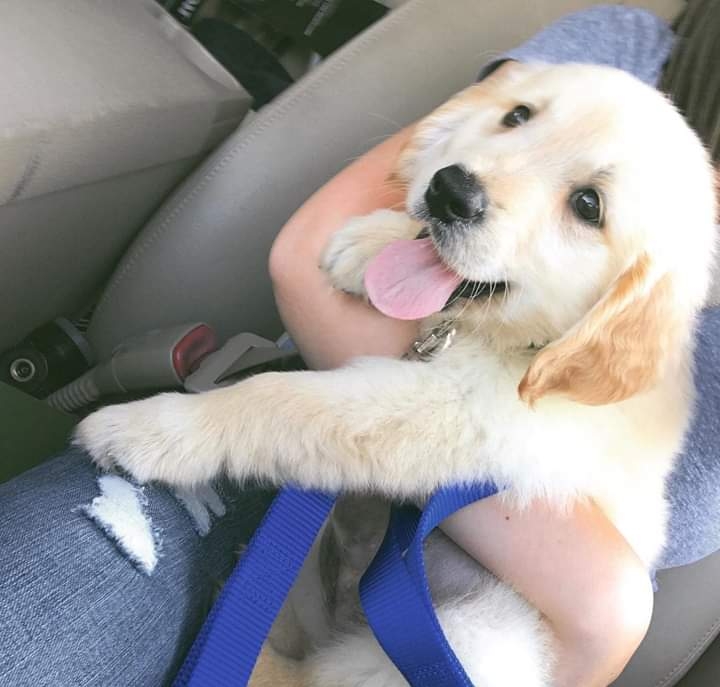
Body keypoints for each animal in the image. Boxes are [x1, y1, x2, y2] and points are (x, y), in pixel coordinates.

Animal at [76, 61, 716, 684]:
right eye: (517, 116)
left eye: (588, 206)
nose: (450, 192)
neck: (521, 344)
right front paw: (367, 246)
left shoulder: (457, 415)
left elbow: (280, 399)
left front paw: (153, 429)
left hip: (458, 642)